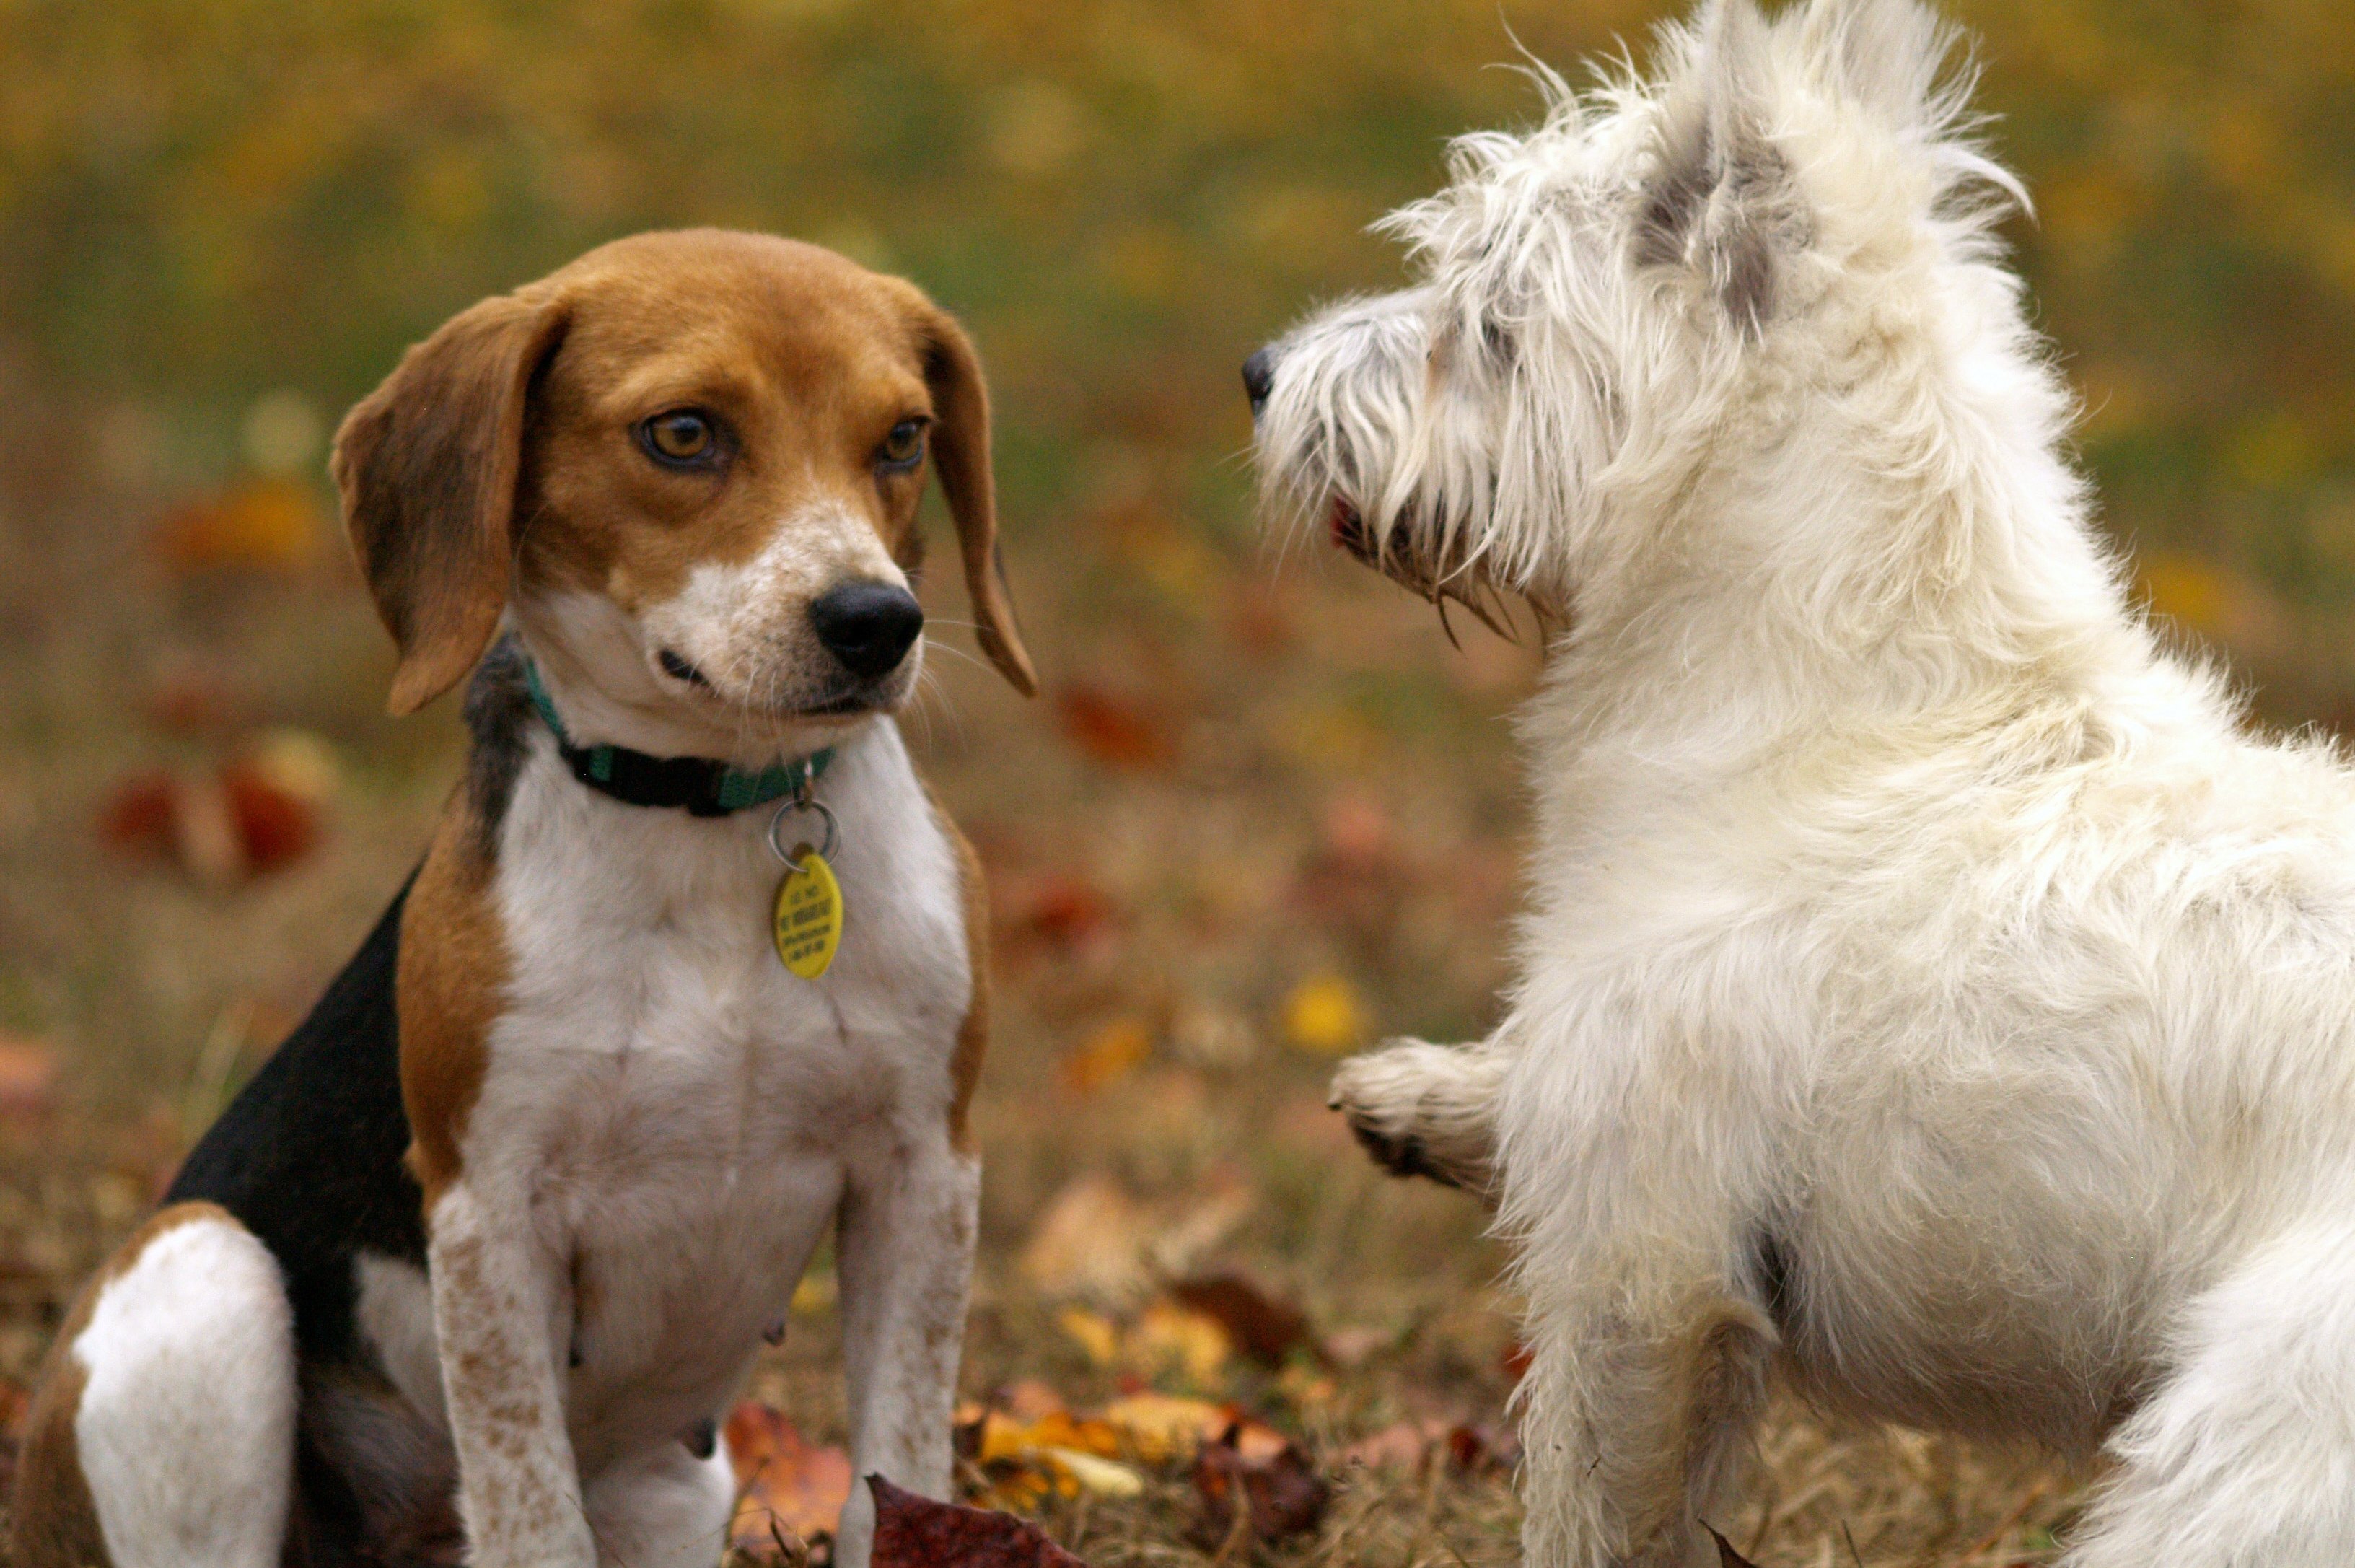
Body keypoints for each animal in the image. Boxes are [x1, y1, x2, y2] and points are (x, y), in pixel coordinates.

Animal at [9, 222, 1036, 1563]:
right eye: (683, 433)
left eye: (904, 437)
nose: (876, 622)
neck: (710, 818)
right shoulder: (489, 1215)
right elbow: (530, 1506)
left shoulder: (924, 1176)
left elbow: (896, 1470)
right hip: (201, 1270)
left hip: (683, 1487)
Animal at [1253, 3, 2355, 1563]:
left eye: (1487, 317)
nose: (1257, 372)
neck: (1869, 716)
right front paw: (1431, 1096)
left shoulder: (1643, 1267)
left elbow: (1589, 1506)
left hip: (2245, 1460)